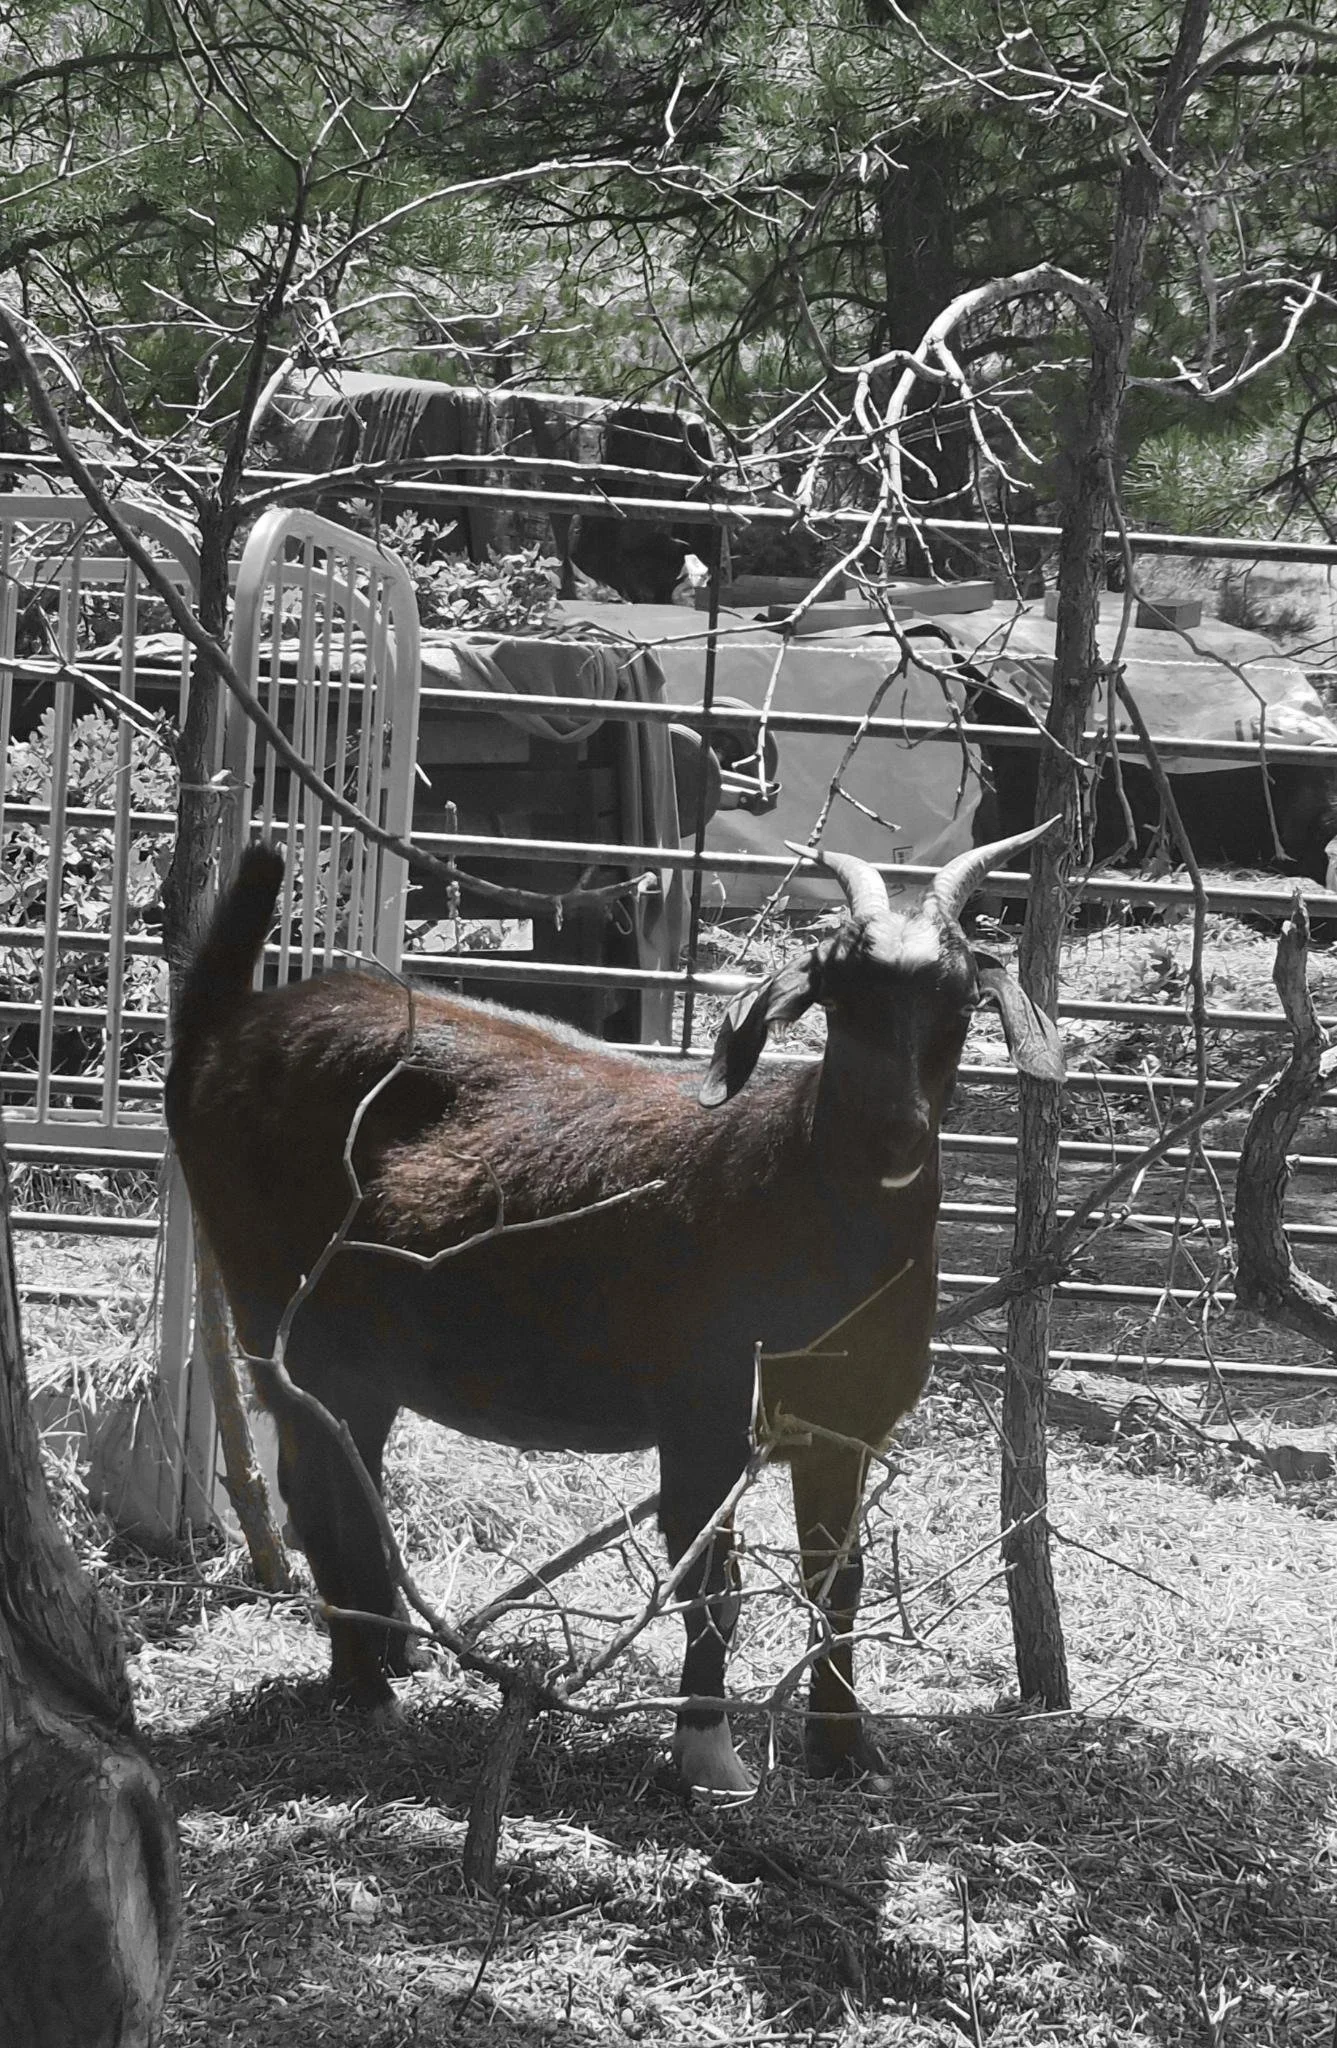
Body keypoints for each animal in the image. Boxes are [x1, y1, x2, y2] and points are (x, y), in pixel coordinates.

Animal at [166, 824, 1063, 1793]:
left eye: (961, 1003)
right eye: (835, 995)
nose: (893, 1136)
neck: (799, 1197)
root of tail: (223, 1025)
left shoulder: (843, 1430)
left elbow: (838, 1582)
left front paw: (847, 1752)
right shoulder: (703, 1417)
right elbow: (712, 1584)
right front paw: (706, 1754)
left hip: (361, 1362)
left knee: (351, 1472)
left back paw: (391, 1652)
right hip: (279, 1319)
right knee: (310, 1489)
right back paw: (365, 1690)